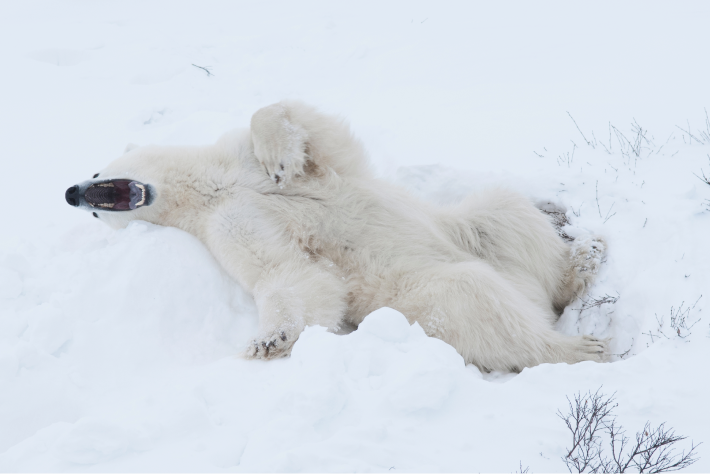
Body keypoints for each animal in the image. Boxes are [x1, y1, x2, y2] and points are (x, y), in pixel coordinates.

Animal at [64, 100, 607, 372]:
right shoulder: (228, 223)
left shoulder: (245, 164)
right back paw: (580, 346)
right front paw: (270, 339)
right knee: (473, 302)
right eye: (91, 213)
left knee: (503, 216)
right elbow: (289, 274)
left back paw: (578, 266)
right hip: (413, 295)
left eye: (95, 172)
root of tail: (529, 295)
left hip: (471, 233)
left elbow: (306, 128)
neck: (212, 186)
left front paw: (279, 160)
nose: (72, 192)